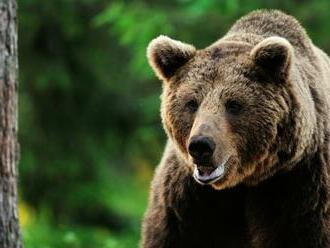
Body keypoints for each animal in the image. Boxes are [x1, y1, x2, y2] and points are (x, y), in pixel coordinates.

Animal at [141, 8, 330, 247]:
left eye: (234, 104)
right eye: (192, 103)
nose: (201, 146)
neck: (243, 182)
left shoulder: (301, 185)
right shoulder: (187, 201)